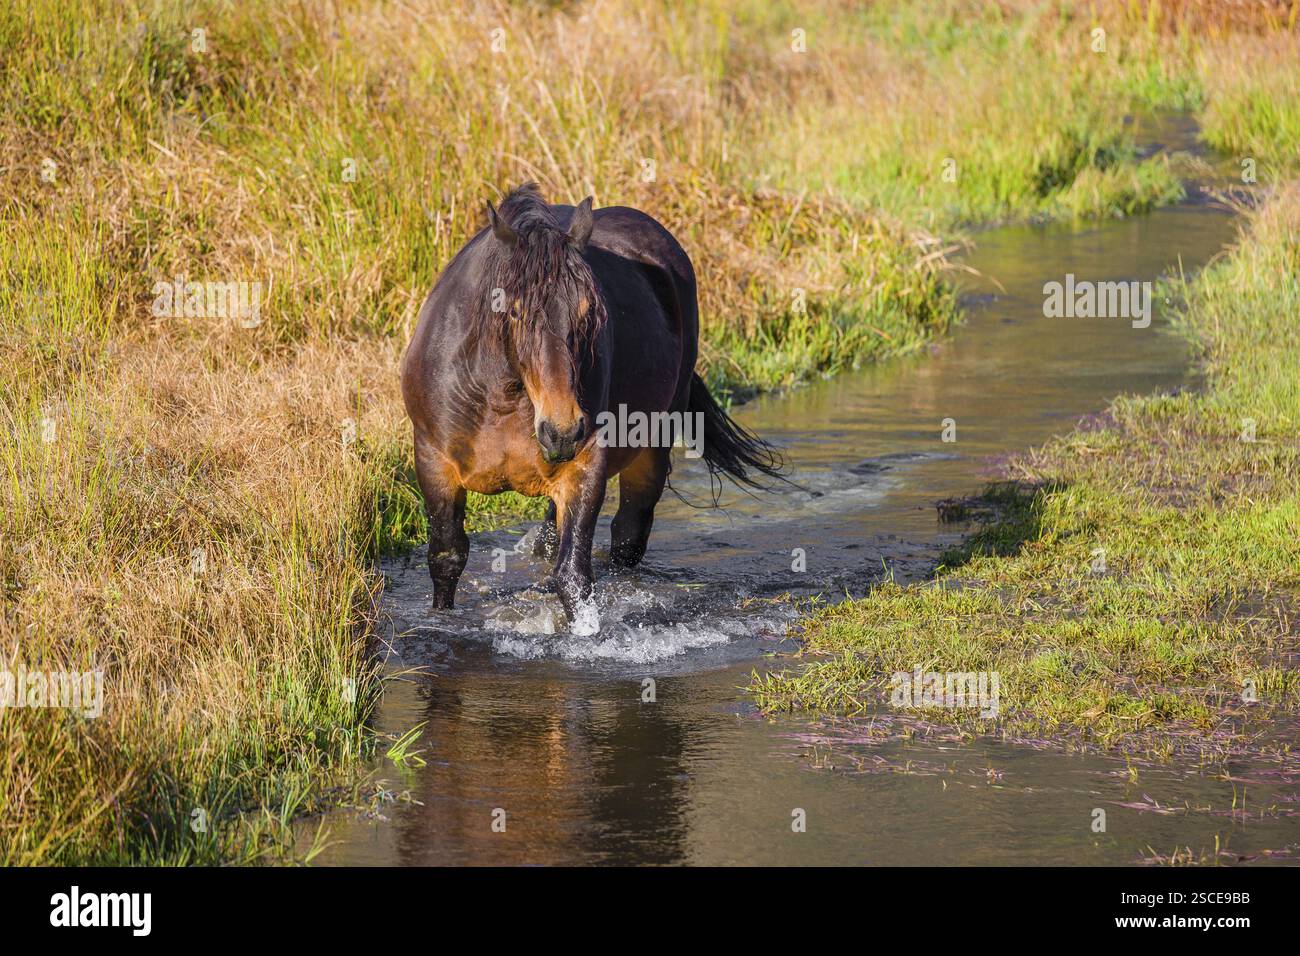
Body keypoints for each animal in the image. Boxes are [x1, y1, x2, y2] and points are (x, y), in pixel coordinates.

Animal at [400, 183, 782, 628]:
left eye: (587, 311)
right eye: (513, 311)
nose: (562, 430)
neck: (502, 398)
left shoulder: (584, 467)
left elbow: (574, 576)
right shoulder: (433, 463)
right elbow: (447, 558)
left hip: (652, 446)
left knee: (628, 535)